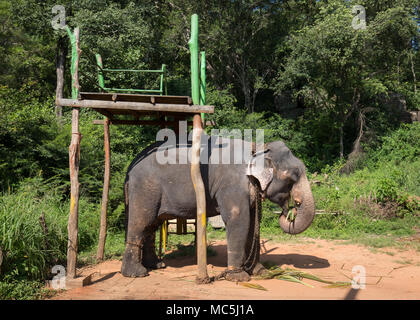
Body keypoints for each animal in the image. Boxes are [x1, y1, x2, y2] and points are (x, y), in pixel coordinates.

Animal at [120, 134, 314, 282]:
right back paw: (137, 274)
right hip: (145, 189)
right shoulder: (232, 184)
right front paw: (239, 277)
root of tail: (130, 168)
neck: (257, 148)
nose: (291, 209)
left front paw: (261, 272)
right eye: (292, 177)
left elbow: (253, 224)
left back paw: (156, 265)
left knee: (152, 225)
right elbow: (239, 219)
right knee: (141, 223)